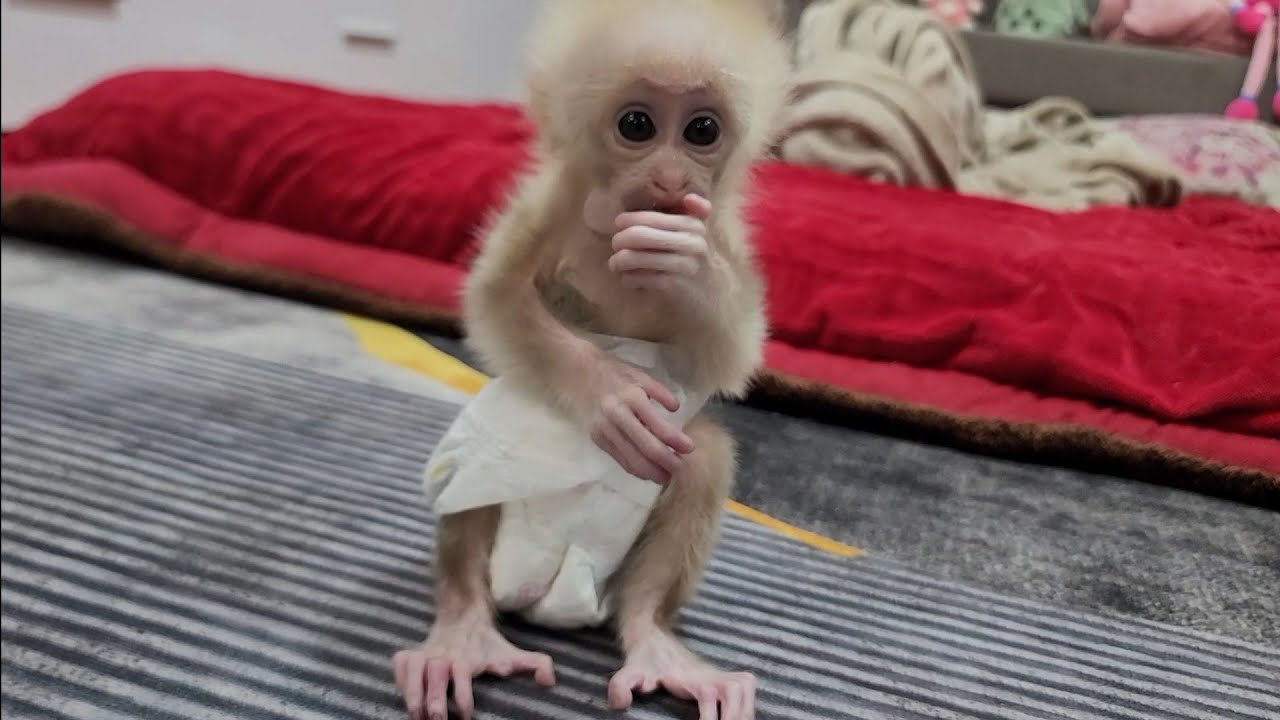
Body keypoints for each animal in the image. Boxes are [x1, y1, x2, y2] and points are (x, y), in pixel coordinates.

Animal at [392, 2, 791, 719]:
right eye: (637, 125)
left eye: (702, 130)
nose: (670, 178)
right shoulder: (551, 201)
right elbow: (496, 300)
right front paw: (610, 394)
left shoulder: (718, 230)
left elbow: (728, 356)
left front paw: (686, 271)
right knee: (475, 463)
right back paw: (463, 632)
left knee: (700, 454)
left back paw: (651, 638)